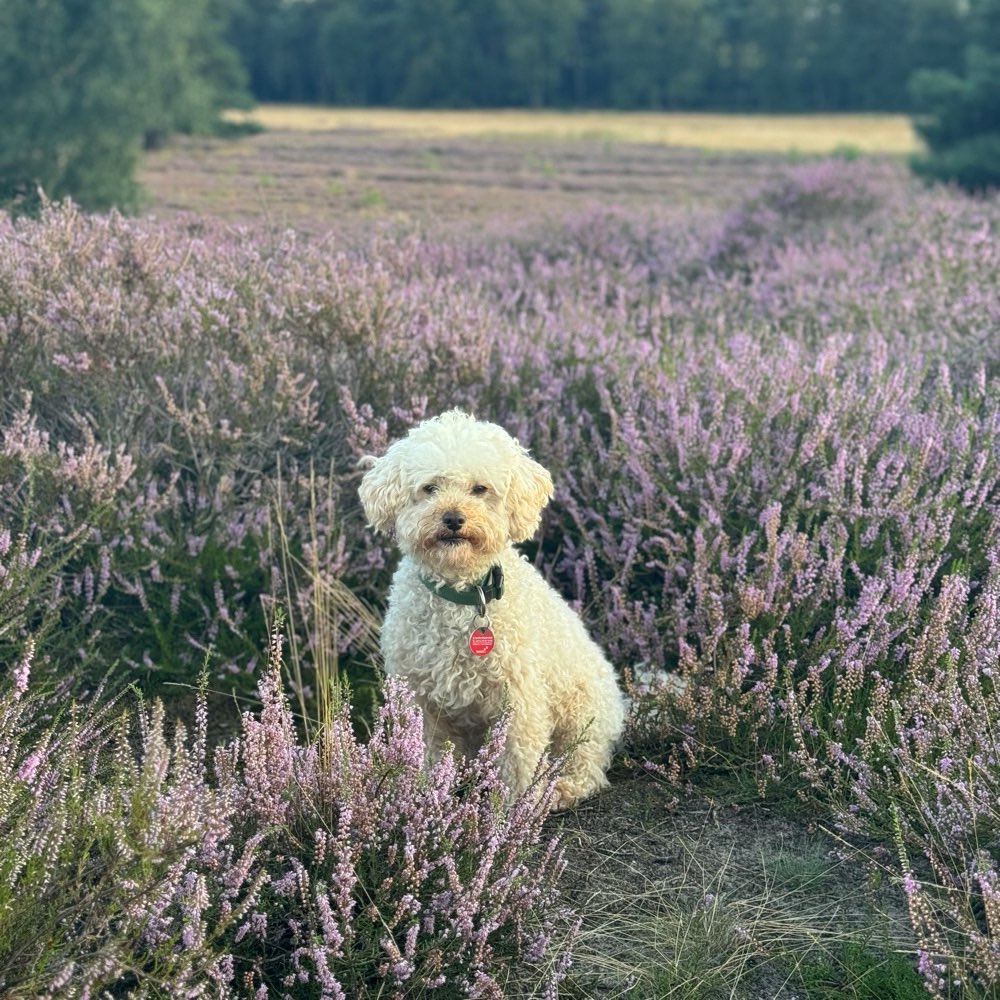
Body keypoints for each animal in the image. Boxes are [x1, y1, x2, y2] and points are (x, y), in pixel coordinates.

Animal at [360, 410, 624, 808]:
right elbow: (428, 756)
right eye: (430, 488)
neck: (462, 593)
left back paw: (563, 787)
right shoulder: (422, 701)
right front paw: (424, 796)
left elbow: (518, 763)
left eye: (480, 489)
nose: (453, 518)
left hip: (583, 714)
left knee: (585, 762)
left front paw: (515, 810)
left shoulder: (518, 701)